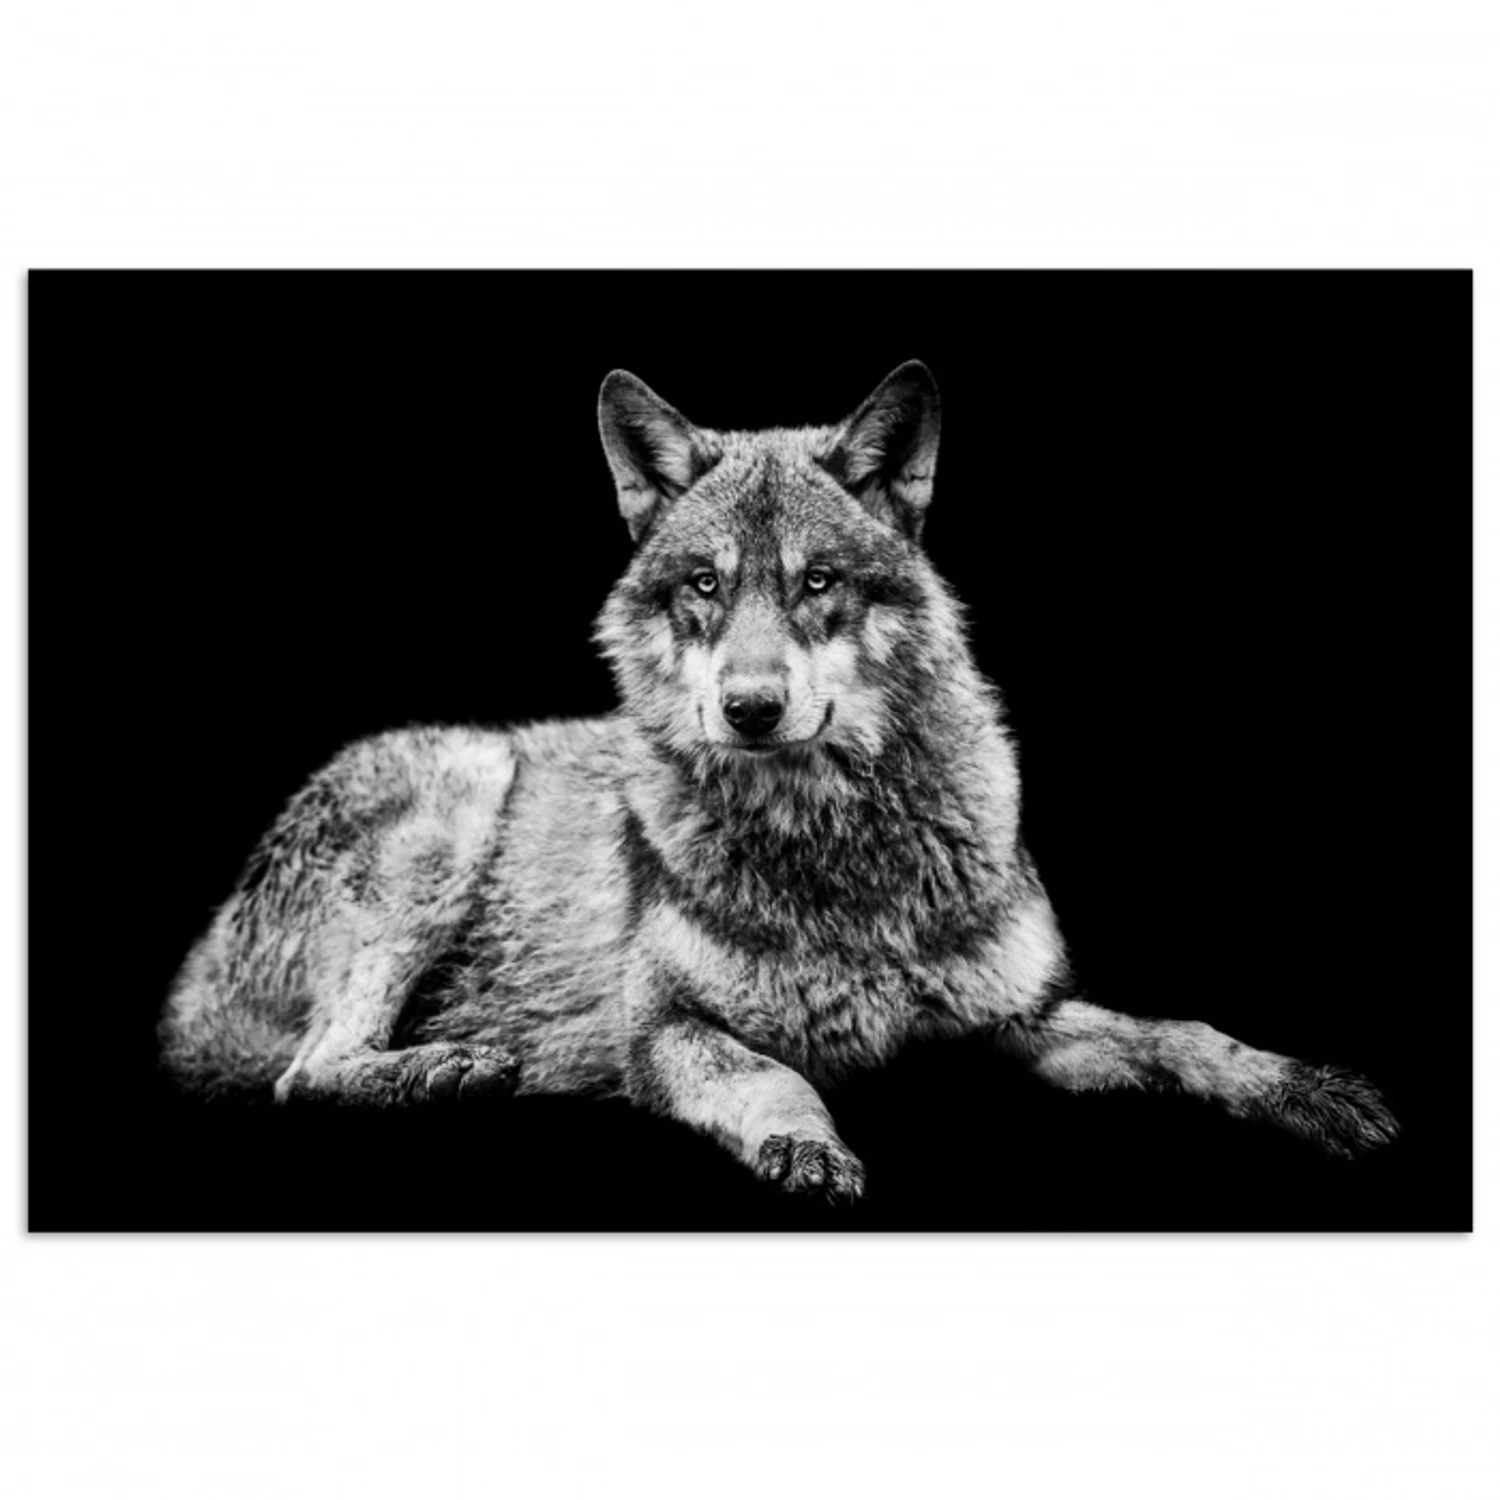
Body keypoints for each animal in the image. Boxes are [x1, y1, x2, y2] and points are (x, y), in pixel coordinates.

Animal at [160, 361, 1398, 1203]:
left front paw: (1306, 1089)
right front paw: (806, 1145)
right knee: (302, 1074)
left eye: (817, 583)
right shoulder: (665, 1033)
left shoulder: (1020, 1018)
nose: (749, 708)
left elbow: (1186, 1034)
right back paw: (447, 1070)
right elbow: (772, 1078)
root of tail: (199, 966)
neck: (838, 852)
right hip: (457, 799)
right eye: (705, 585)